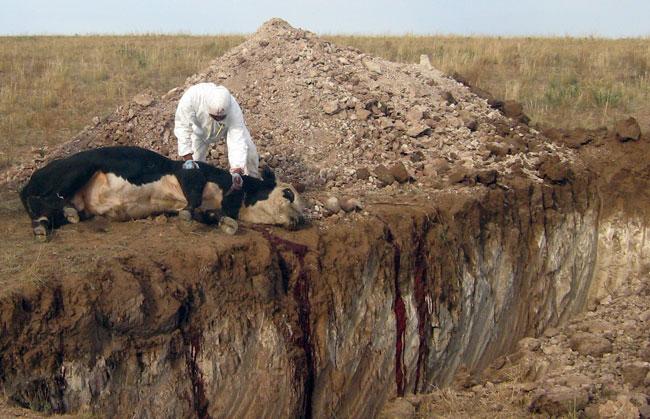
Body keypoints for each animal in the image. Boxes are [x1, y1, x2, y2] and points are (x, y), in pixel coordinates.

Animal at [20, 146, 304, 241]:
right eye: (288, 193)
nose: (300, 220)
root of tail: (35, 174)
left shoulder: (207, 207)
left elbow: (212, 215)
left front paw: (226, 223)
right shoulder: (189, 173)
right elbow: (193, 199)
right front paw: (188, 214)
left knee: (44, 211)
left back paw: (44, 225)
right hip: (79, 169)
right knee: (44, 198)